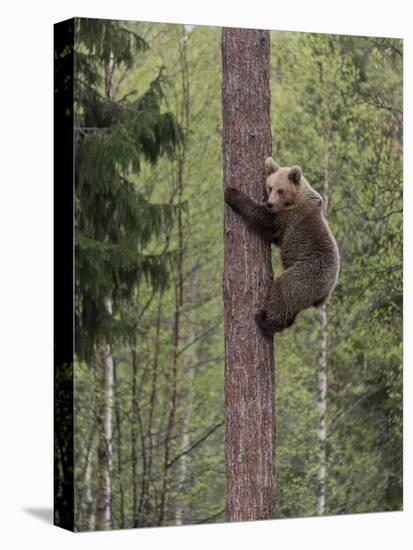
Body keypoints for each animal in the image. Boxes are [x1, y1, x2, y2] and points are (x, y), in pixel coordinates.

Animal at [224, 156, 340, 336]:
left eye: (281, 190)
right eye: (270, 187)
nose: (270, 203)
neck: (293, 199)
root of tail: (326, 292)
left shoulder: (288, 218)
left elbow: (262, 219)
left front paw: (232, 192)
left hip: (306, 275)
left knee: (283, 291)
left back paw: (265, 320)